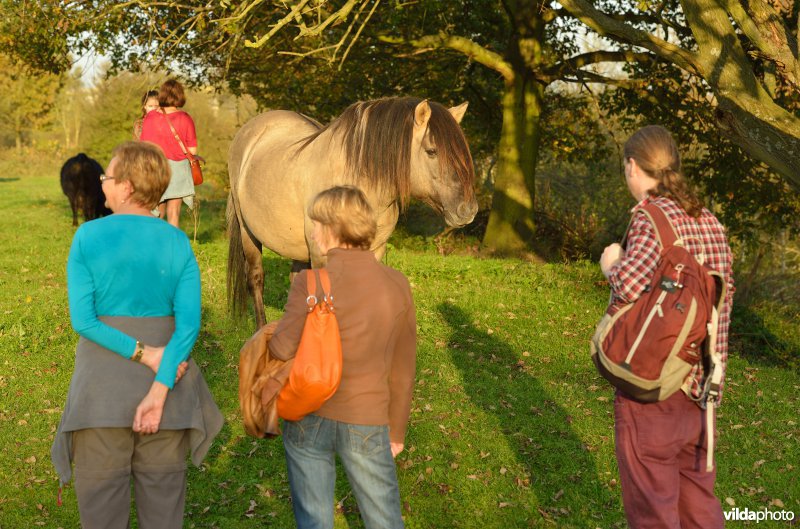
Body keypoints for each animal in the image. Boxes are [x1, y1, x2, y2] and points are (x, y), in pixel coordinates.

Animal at [227, 95, 476, 326]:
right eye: (432, 151)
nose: (468, 210)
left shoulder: (373, 250)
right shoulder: (321, 254)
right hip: (248, 232)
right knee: (256, 279)